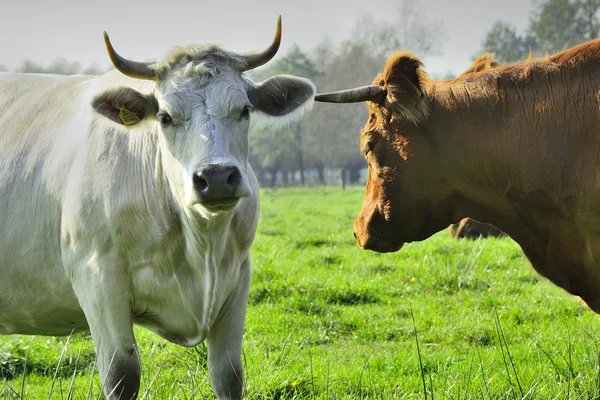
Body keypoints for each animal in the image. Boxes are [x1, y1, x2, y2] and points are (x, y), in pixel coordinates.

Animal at [0, 17, 318, 398]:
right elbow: (122, 374)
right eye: (165, 117)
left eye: (244, 110)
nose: (216, 177)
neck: (200, 247)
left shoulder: (239, 274)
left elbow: (229, 374)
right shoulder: (96, 277)